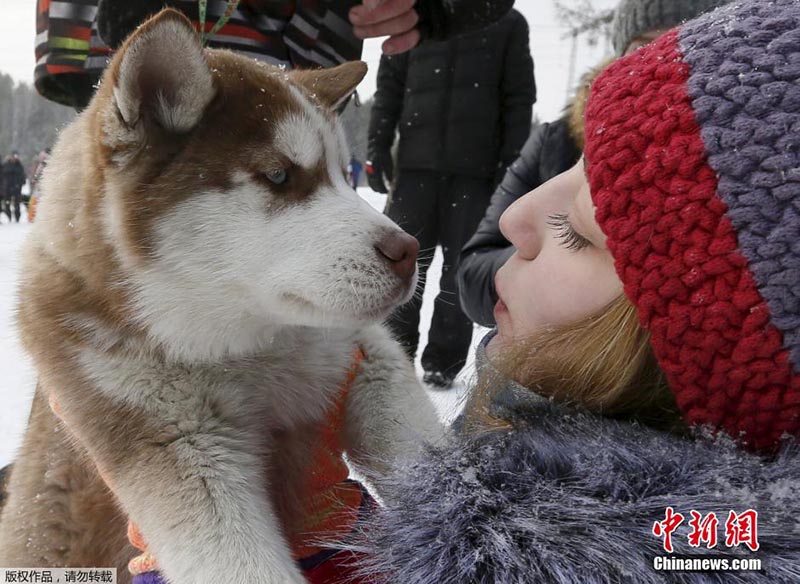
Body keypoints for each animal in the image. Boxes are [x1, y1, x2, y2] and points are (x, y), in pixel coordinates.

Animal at [0, 10, 444, 584]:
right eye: (278, 175)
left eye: (343, 176)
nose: (408, 251)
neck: (245, 342)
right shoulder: (168, 439)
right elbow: (241, 561)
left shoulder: (362, 353)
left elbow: (424, 448)